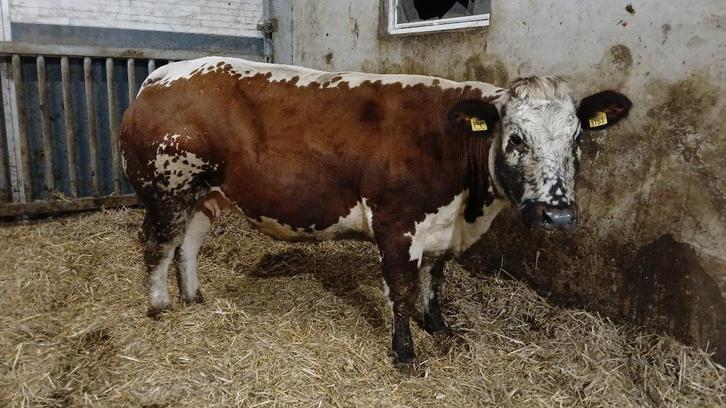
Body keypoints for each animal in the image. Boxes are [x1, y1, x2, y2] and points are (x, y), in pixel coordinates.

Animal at [120, 57, 631, 369]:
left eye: (577, 139)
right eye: (517, 138)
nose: (556, 215)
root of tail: (159, 78)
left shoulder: (440, 229)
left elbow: (434, 278)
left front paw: (438, 326)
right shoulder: (396, 224)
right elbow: (401, 292)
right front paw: (405, 354)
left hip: (205, 195)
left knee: (187, 244)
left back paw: (193, 298)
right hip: (167, 189)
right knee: (157, 245)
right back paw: (159, 306)